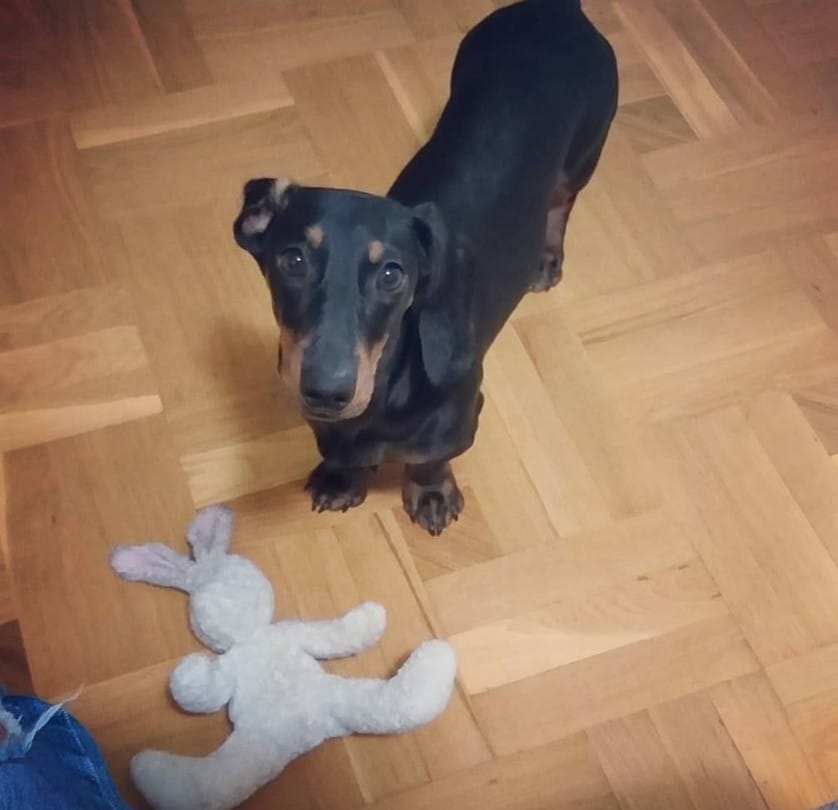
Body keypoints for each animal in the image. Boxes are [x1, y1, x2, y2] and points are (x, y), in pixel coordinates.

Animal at [233, 0, 618, 536]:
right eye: (292, 260)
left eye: (392, 275)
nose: (327, 391)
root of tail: (558, 10)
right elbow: (340, 450)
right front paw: (341, 477)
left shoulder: (461, 418)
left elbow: (430, 456)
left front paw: (431, 492)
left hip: (586, 151)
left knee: (562, 201)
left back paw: (546, 255)